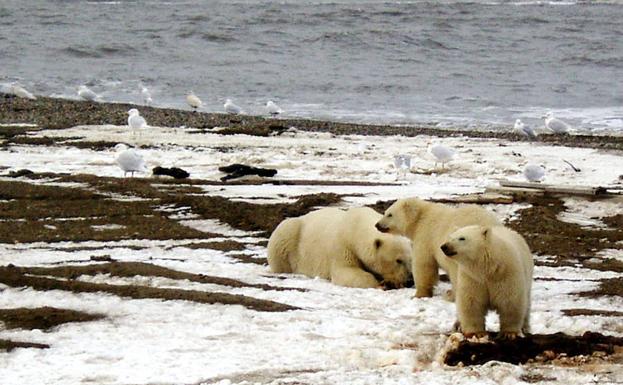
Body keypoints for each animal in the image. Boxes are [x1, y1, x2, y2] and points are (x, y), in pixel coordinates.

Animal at [268, 207, 414, 288]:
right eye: (398, 260)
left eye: (410, 260)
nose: (409, 280)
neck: (356, 227)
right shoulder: (343, 246)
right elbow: (346, 271)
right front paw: (381, 284)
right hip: (290, 234)